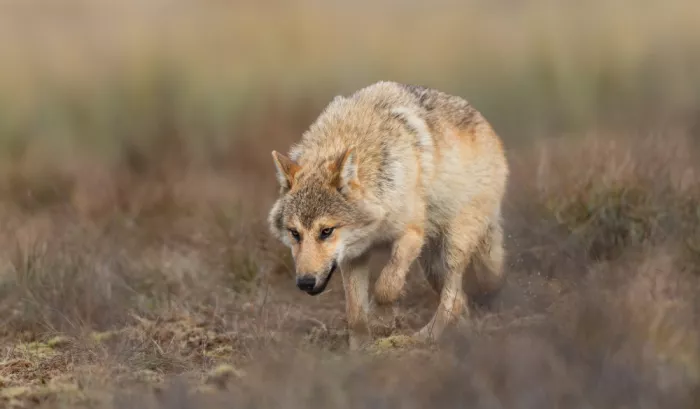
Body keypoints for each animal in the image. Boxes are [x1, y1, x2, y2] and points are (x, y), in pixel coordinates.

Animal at [267, 81, 509, 350]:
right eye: (294, 233)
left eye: (326, 231)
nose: (305, 283)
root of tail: (487, 127)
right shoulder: (354, 255)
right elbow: (355, 313)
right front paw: (359, 352)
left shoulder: (411, 235)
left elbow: (386, 287)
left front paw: (382, 322)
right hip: (431, 264)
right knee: (459, 302)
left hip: (453, 246)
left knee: (453, 299)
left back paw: (421, 340)